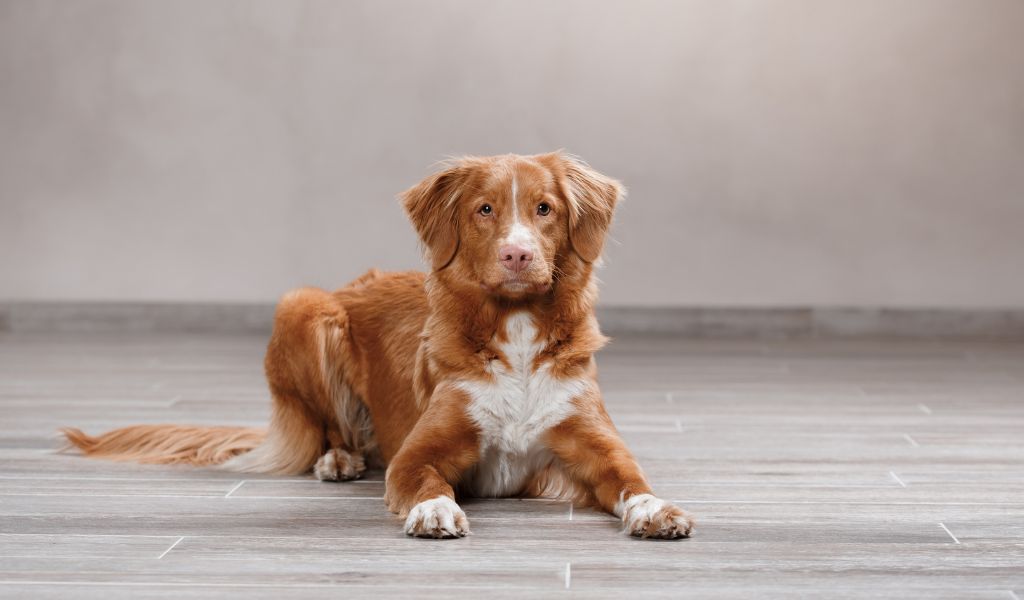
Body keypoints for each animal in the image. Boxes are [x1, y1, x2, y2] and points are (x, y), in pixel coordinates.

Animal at [61, 149, 696, 536]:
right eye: (484, 209)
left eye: (545, 209)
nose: (517, 255)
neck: (513, 333)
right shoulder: (418, 453)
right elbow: (426, 479)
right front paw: (436, 510)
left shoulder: (594, 445)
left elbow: (630, 478)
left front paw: (656, 508)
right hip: (304, 307)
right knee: (333, 430)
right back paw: (338, 459)